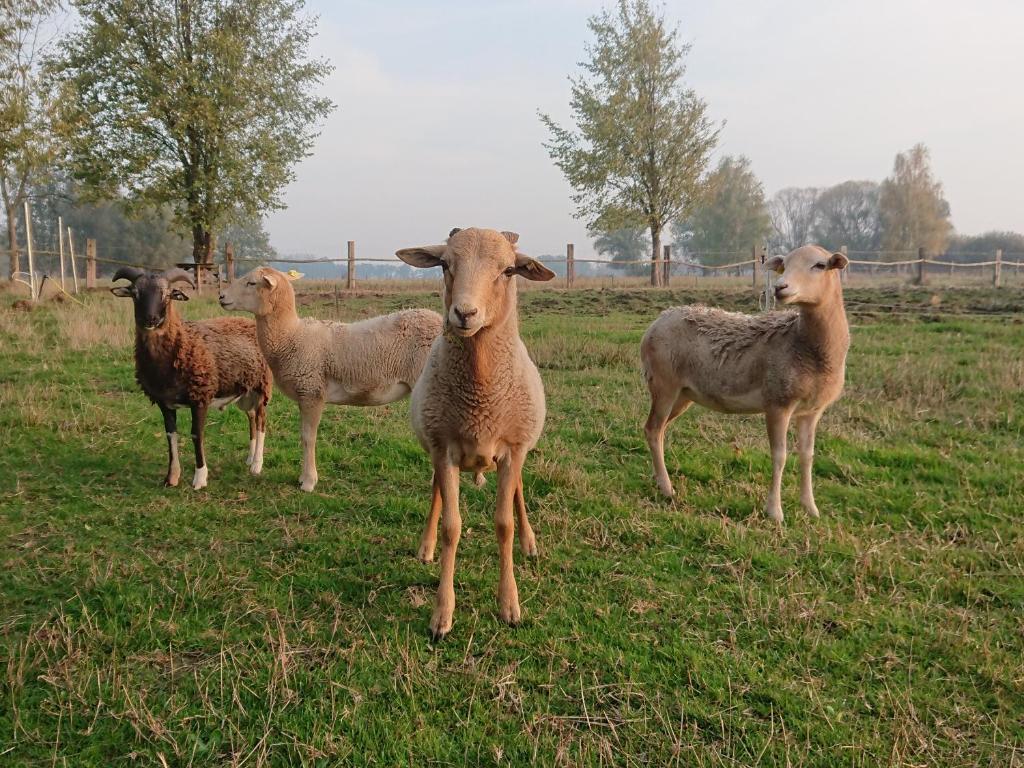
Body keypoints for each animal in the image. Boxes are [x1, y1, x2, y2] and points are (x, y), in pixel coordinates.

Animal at [111, 268, 272, 489]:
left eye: (168, 294)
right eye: (135, 293)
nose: (150, 319)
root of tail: (248, 322)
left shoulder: (200, 397)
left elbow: (197, 434)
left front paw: (200, 478)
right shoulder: (164, 402)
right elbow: (171, 435)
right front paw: (171, 478)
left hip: (262, 386)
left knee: (261, 421)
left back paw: (256, 465)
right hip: (244, 392)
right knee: (252, 418)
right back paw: (250, 458)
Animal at [218, 264, 442, 493]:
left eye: (251, 282)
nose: (221, 296)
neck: (290, 335)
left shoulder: (312, 392)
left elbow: (308, 437)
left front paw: (308, 482)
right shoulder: (305, 394)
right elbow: (304, 435)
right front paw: (303, 477)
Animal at [395, 225, 557, 638]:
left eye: (509, 270)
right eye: (444, 264)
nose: (465, 313)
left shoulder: (513, 450)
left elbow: (504, 524)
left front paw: (509, 605)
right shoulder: (443, 448)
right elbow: (452, 527)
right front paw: (442, 614)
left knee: (518, 492)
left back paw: (530, 544)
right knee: (436, 492)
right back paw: (425, 547)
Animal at [638, 244, 847, 524]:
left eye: (820, 265)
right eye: (785, 265)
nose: (779, 287)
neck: (804, 345)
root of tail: (655, 323)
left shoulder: (812, 410)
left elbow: (807, 455)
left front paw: (811, 508)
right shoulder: (777, 401)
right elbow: (780, 455)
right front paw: (775, 512)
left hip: (683, 393)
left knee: (659, 430)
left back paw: (659, 478)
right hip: (663, 382)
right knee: (652, 428)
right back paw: (667, 487)